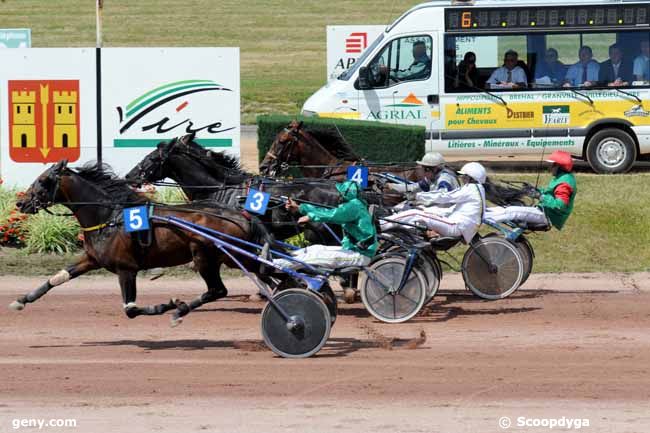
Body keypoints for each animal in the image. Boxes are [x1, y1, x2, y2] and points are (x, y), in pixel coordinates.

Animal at [12, 160, 270, 326]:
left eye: (44, 180)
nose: (21, 203)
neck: (109, 217)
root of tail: (241, 215)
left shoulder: (126, 268)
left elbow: (131, 309)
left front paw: (167, 305)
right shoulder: (93, 259)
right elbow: (57, 278)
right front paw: (21, 300)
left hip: (208, 256)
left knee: (219, 289)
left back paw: (179, 312)